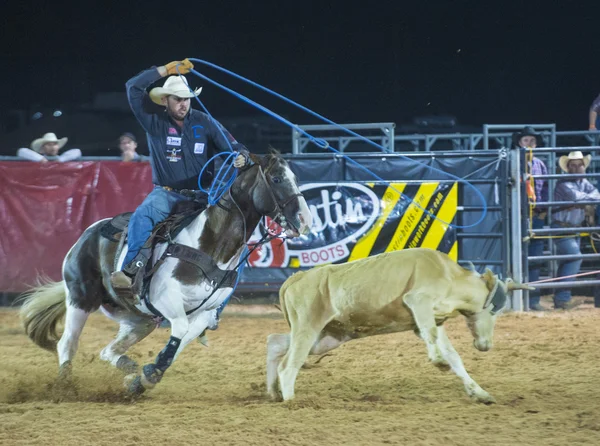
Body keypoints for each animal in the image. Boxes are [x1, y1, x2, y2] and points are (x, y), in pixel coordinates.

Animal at [19, 152, 312, 394]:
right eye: (276, 178)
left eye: (296, 178)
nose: (305, 219)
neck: (211, 246)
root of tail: (86, 235)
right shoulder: (165, 298)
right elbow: (179, 328)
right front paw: (148, 375)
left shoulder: (205, 313)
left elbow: (180, 342)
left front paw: (143, 378)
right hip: (81, 298)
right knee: (67, 343)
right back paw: (65, 387)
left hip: (139, 319)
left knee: (108, 349)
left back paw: (127, 367)